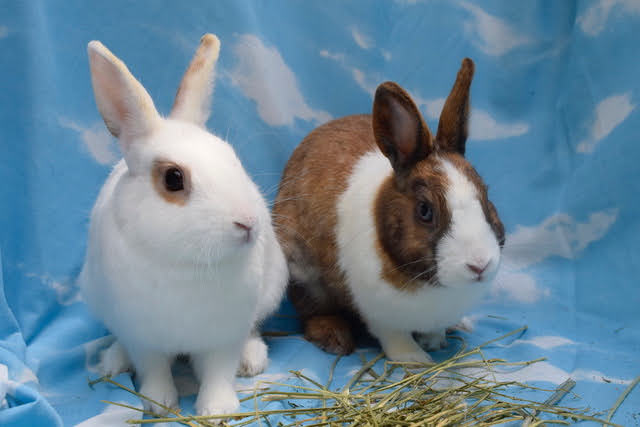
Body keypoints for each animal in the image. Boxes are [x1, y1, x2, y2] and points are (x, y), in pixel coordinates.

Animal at [80, 33, 288, 418]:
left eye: (233, 158)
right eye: (173, 179)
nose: (248, 222)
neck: (185, 263)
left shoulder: (224, 335)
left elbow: (219, 372)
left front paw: (217, 409)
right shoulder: (143, 337)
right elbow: (153, 369)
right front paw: (158, 405)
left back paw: (251, 360)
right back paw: (113, 361)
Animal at [272, 58, 508, 362]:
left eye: (486, 196)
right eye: (424, 210)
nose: (479, 265)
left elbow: (435, 328)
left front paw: (436, 341)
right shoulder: (378, 313)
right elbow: (394, 336)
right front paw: (416, 359)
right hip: (303, 272)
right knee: (312, 311)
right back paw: (335, 338)